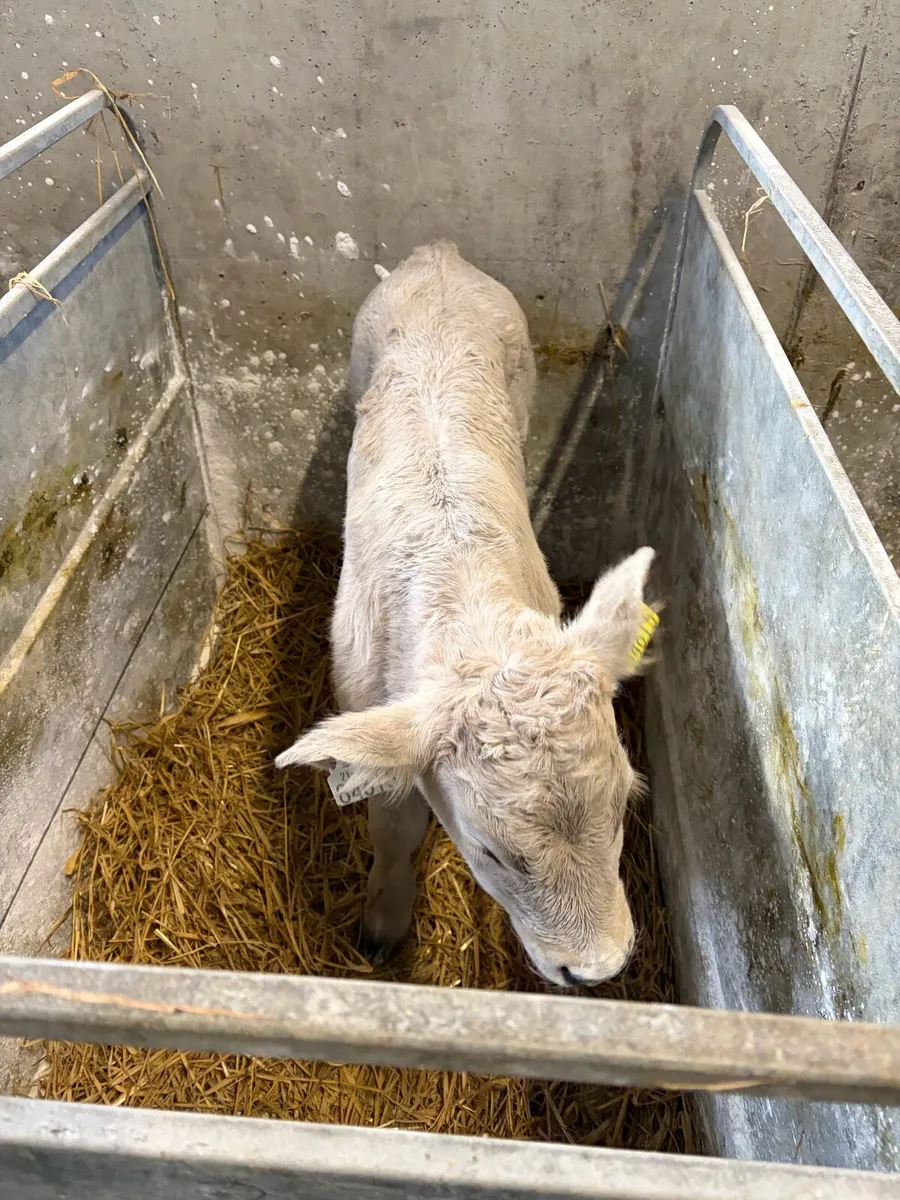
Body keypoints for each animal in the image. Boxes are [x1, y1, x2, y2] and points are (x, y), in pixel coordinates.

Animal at [276, 241, 656, 987]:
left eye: (625, 801)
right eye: (490, 852)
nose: (597, 971)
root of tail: (439, 254)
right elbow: (393, 828)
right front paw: (382, 926)